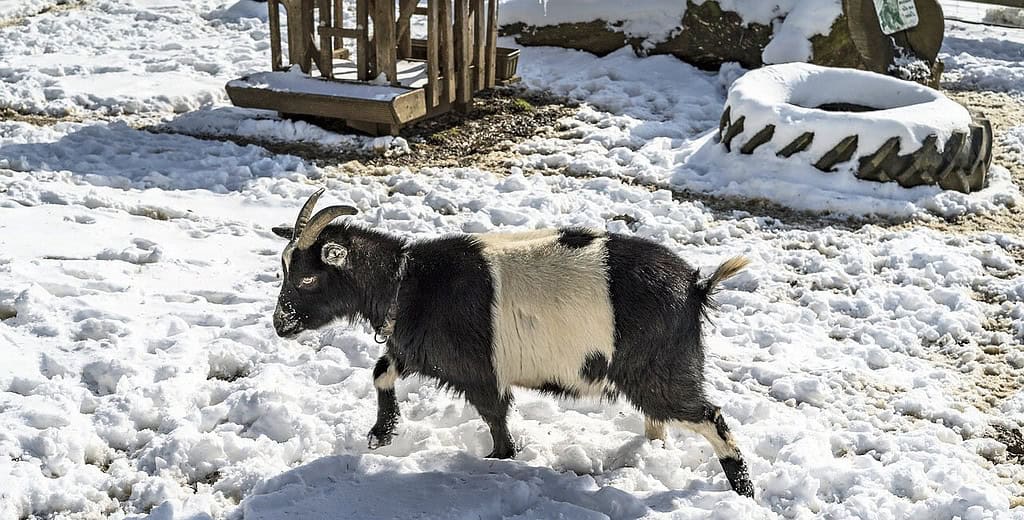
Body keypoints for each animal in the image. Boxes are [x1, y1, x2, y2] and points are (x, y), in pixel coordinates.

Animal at [271, 188, 754, 497]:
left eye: (308, 278)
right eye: (284, 270)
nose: (280, 324)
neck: (408, 281)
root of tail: (696, 286)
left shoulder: (478, 371)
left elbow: (495, 414)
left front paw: (500, 460)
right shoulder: (420, 350)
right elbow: (380, 370)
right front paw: (380, 434)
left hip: (663, 371)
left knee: (710, 417)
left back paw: (744, 492)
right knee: (663, 418)